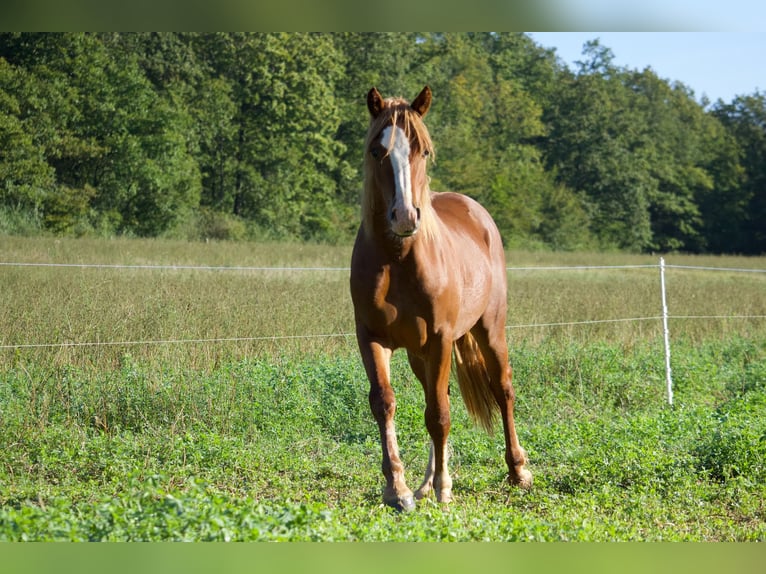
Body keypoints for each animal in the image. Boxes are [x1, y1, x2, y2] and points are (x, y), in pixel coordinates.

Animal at [350, 86, 536, 512]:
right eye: (376, 150)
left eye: (423, 150)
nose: (405, 216)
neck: (399, 261)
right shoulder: (372, 338)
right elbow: (385, 403)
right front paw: (399, 490)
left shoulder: (440, 339)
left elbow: (439, 415)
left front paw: (444, 490)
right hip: (420, 354)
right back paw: (423, 484)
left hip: (489, 331)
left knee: (502, 389)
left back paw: (517, 471)